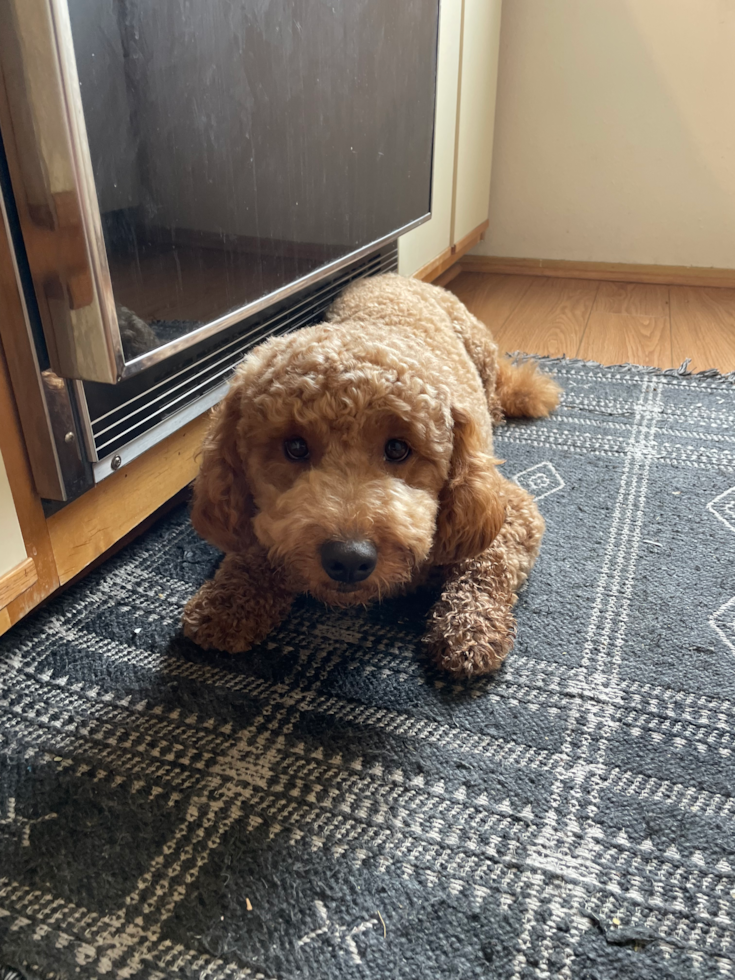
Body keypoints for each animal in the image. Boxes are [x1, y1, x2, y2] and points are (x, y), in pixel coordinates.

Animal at [183, 274, 556, 672]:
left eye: (397, 448)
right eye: (295, 447)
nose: (349, 559)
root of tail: (390, 275)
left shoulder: (504, 510)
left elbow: (487, 567)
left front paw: (471, 629)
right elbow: (256, 546)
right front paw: (228, 600)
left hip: (478, 346)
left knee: (496, 387)